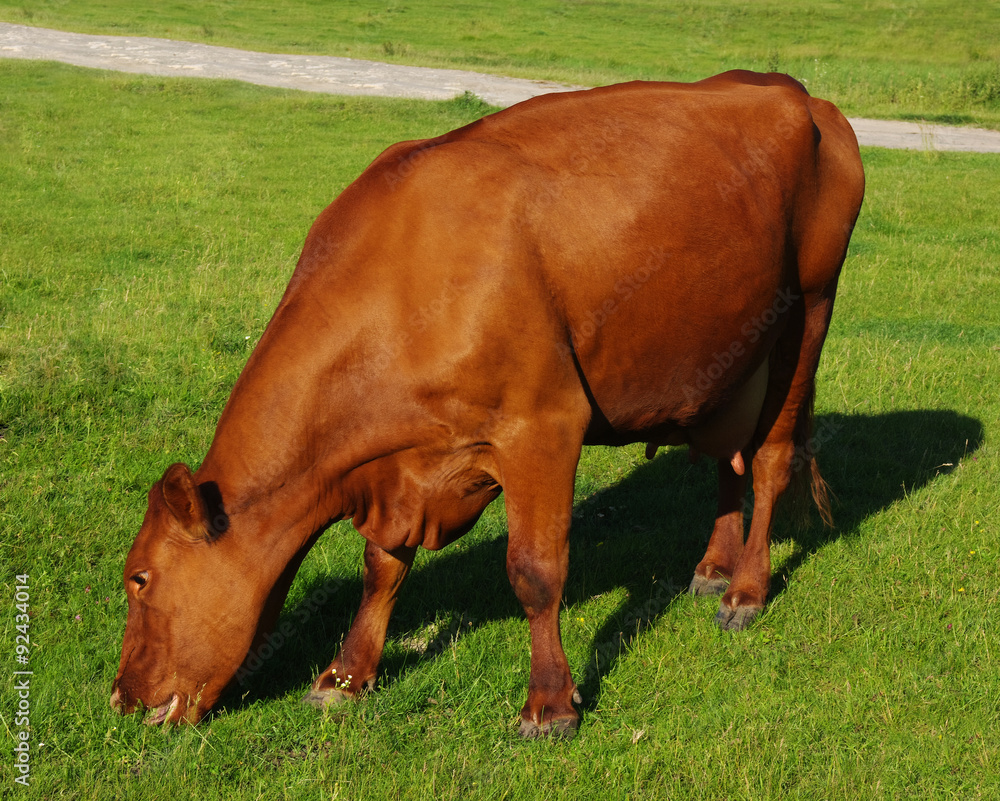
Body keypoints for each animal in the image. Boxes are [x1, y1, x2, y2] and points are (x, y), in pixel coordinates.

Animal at [107, 72, 860, 736]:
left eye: (139, 578)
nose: (119, 696)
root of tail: (798, 93)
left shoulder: (543, 422)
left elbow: (535, 572)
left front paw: (550, 706)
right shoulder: (404, 467)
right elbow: (383, 564)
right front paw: (346, 676)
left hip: (808, 311)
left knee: (770, 456)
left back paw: (745, 591)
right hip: (728, 346)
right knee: (727, 454)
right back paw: (711, 567)